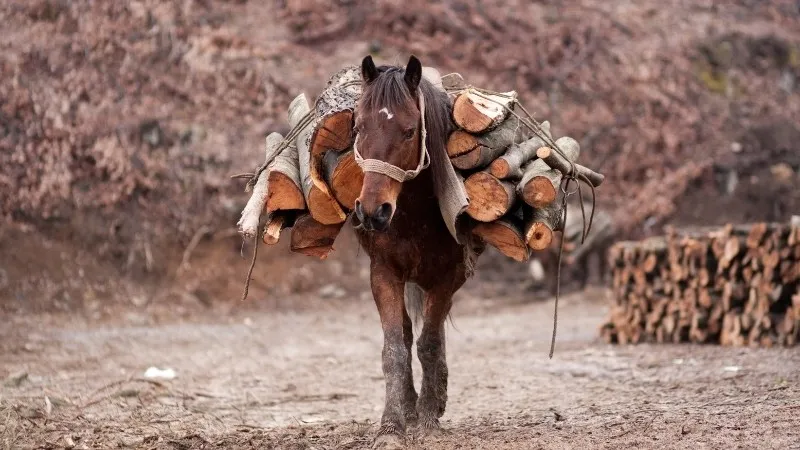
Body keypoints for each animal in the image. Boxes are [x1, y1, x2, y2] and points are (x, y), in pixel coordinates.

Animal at [352, 53, 482, 446]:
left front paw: (427, 418)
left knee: (432, 334)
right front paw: (392, 424)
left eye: (409, 131)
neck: (413, 217)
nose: (372, 211)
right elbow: (395, 347)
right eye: (358, 127)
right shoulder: (383, 273)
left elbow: (429, 344)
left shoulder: (448, 277)